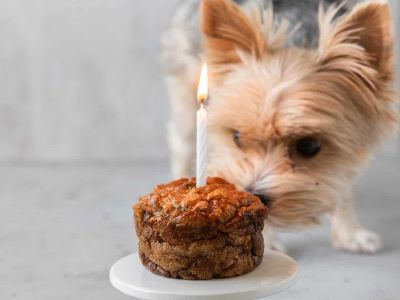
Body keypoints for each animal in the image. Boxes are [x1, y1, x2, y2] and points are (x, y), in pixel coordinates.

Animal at [162, 0, 396, 253]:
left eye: (309, 146)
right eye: (236, 137)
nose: (252, 193)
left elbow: (341, 185)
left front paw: (349, 233)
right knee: (181, 141)